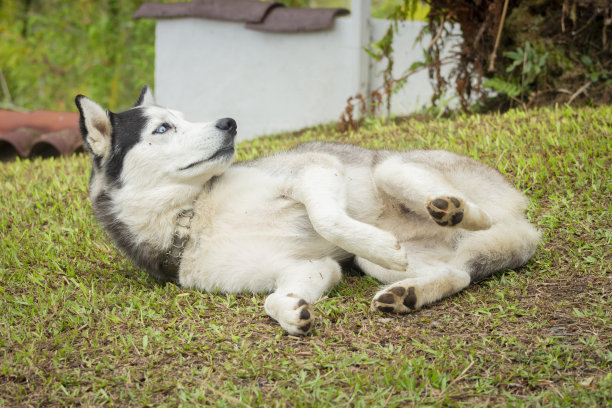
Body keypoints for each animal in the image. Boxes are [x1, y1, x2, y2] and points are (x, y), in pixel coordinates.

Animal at [76, 86, 540, 334]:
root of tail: (524, 224)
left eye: (183, 118)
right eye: (163, 128)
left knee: (461, 215)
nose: (229, 122)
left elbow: (328, 218)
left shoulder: (313, 168)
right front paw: (291, 312)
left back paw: (455, 210)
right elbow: (273, 298)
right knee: (458, 274)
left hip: (391, 169)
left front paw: (377, 241)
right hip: (383, 266)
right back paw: (407, 295)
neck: (193, 214)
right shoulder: (309, 266)